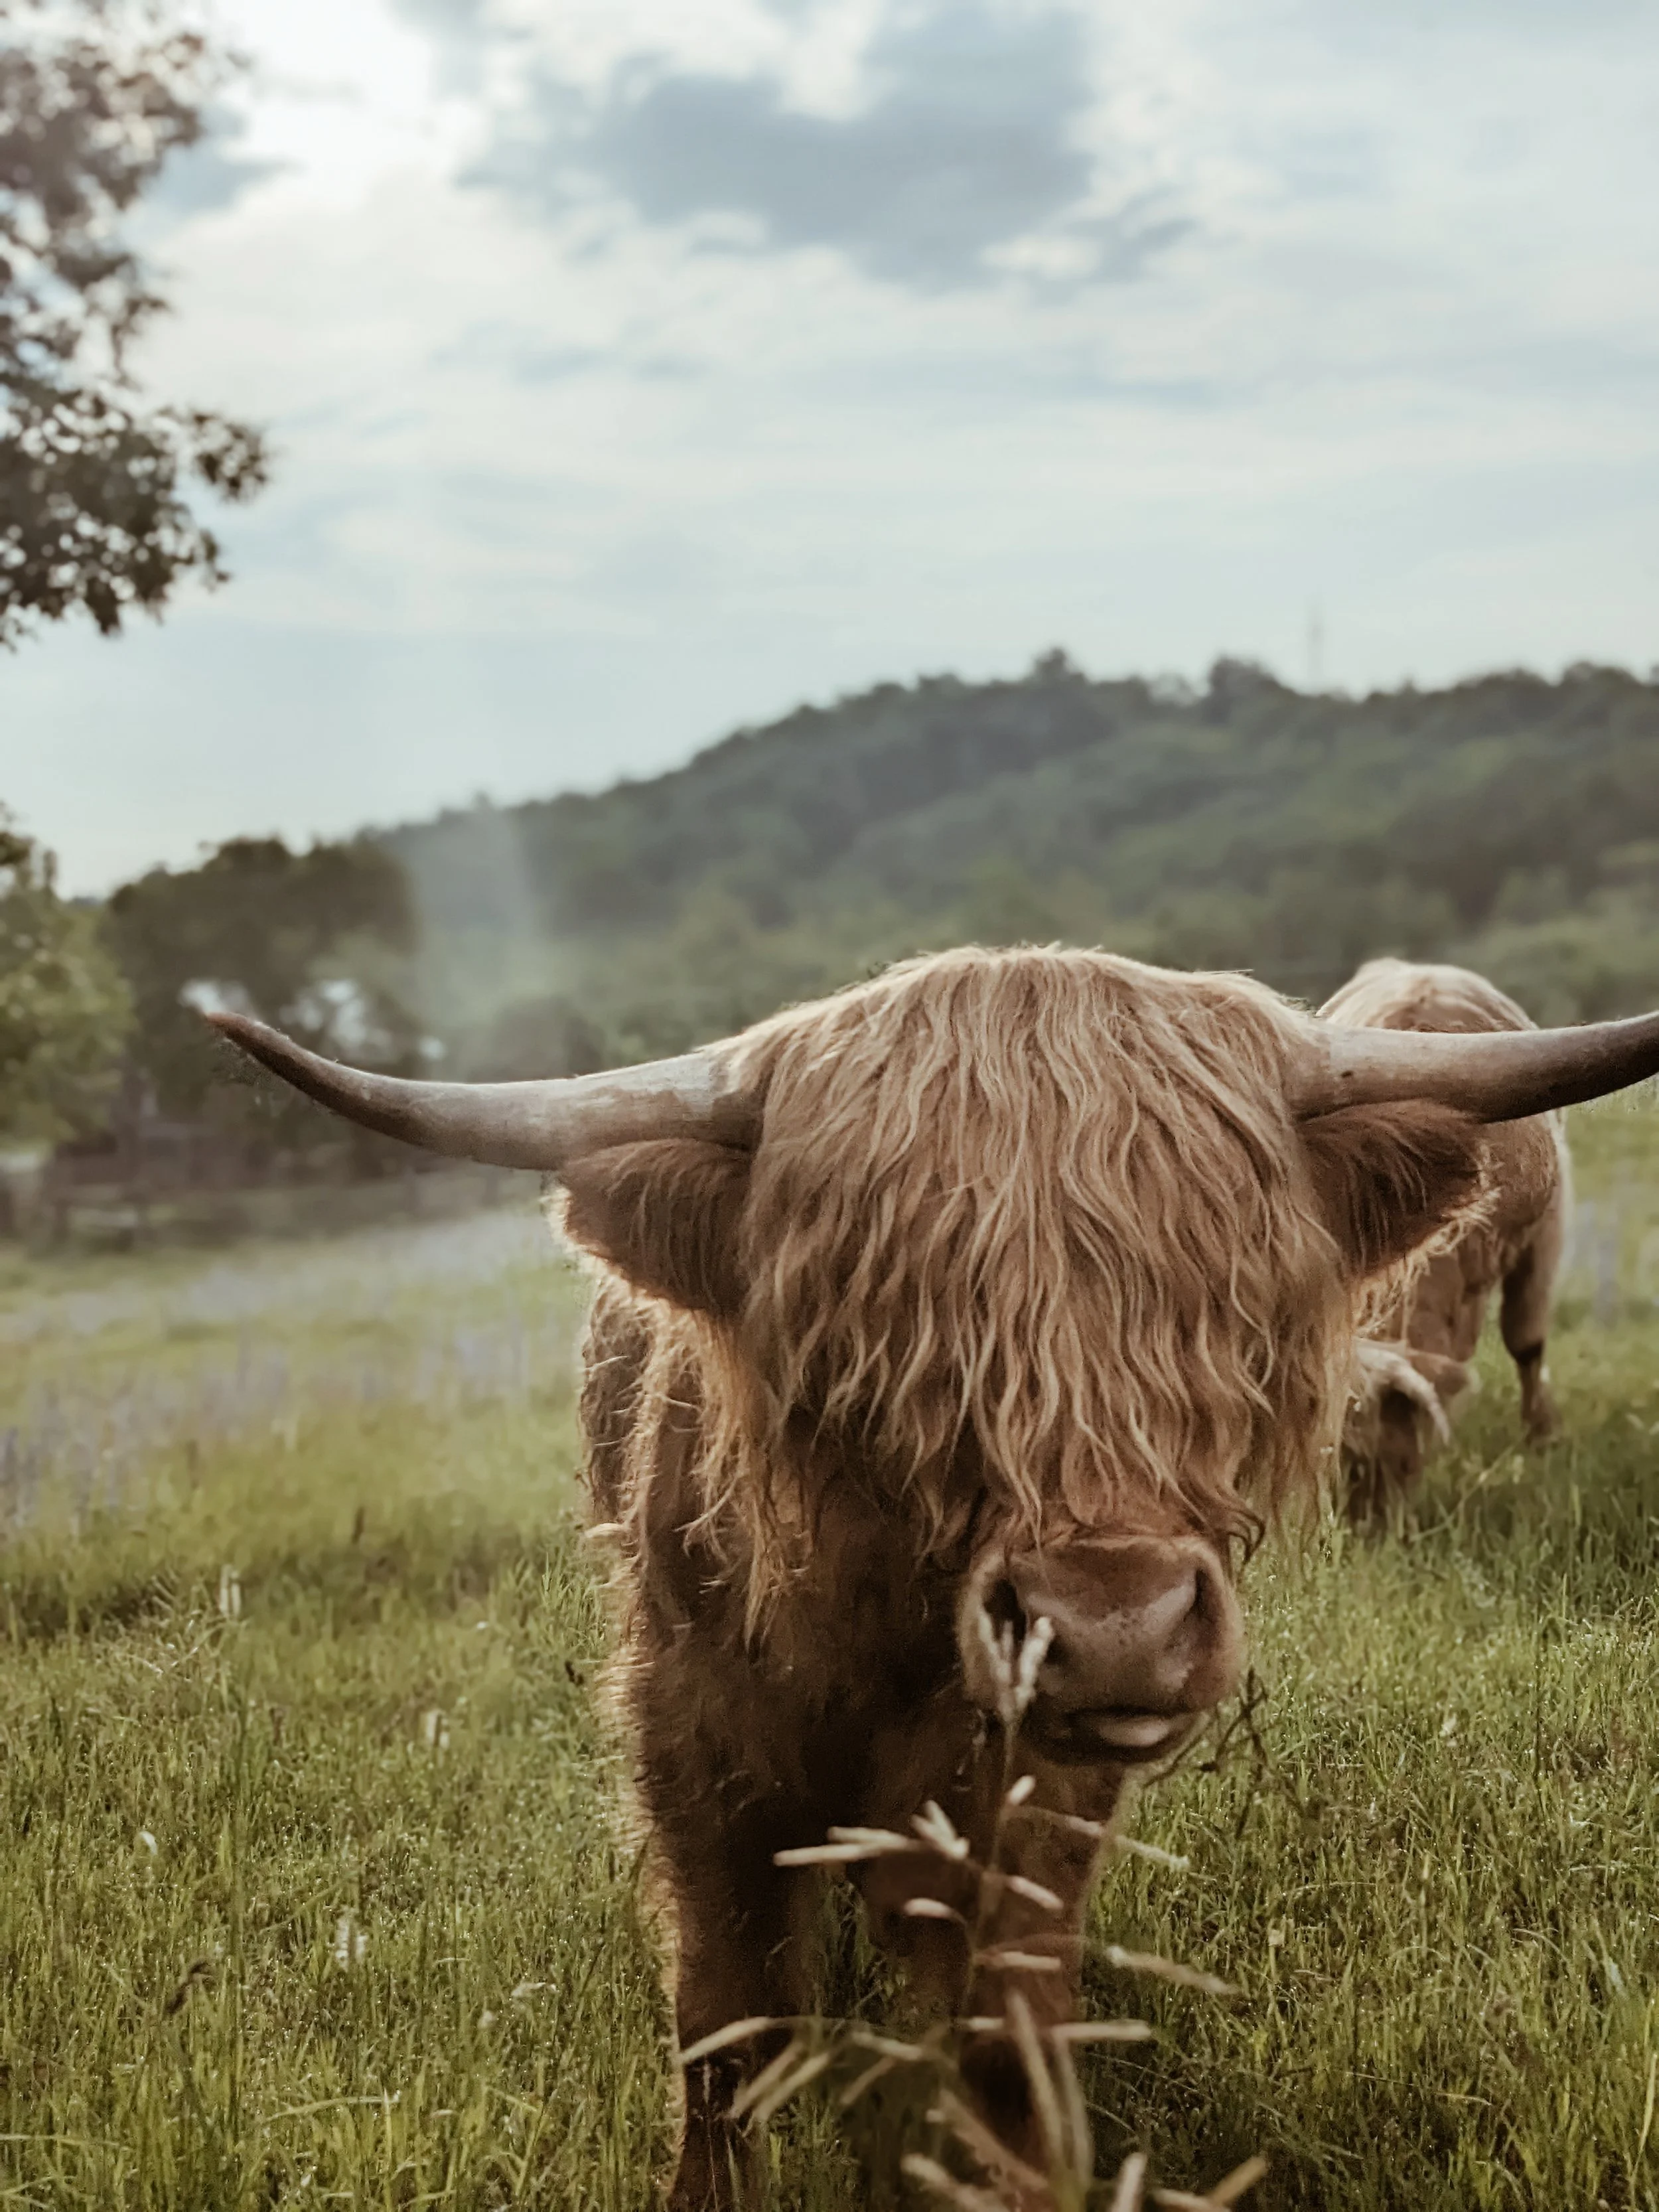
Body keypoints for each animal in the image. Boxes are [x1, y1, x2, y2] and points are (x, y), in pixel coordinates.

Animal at [1321, 959, 1572, 1524]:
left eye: (1386, 1456)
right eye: (1336, 1458)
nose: (1360, 1531)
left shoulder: (1543, 1232)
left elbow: (1526, 1339)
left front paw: (1544, 1435)